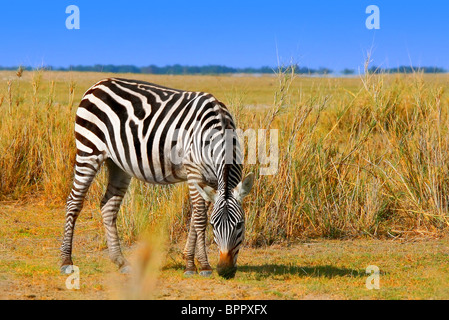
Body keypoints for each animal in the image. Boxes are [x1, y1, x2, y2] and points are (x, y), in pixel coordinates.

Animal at [60, 77, 254, 278]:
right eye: (214, 226)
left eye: (240, 225)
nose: (225, 270)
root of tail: (98, 84)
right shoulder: (193, 171)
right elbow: (200, 218)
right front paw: (203, 265)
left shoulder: (212, 181)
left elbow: (195, 217)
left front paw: (189, 260)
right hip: (89, 151)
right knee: (74, 202)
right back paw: (67, 261)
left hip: (117, 164)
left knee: (108, 207)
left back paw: (121, 262)